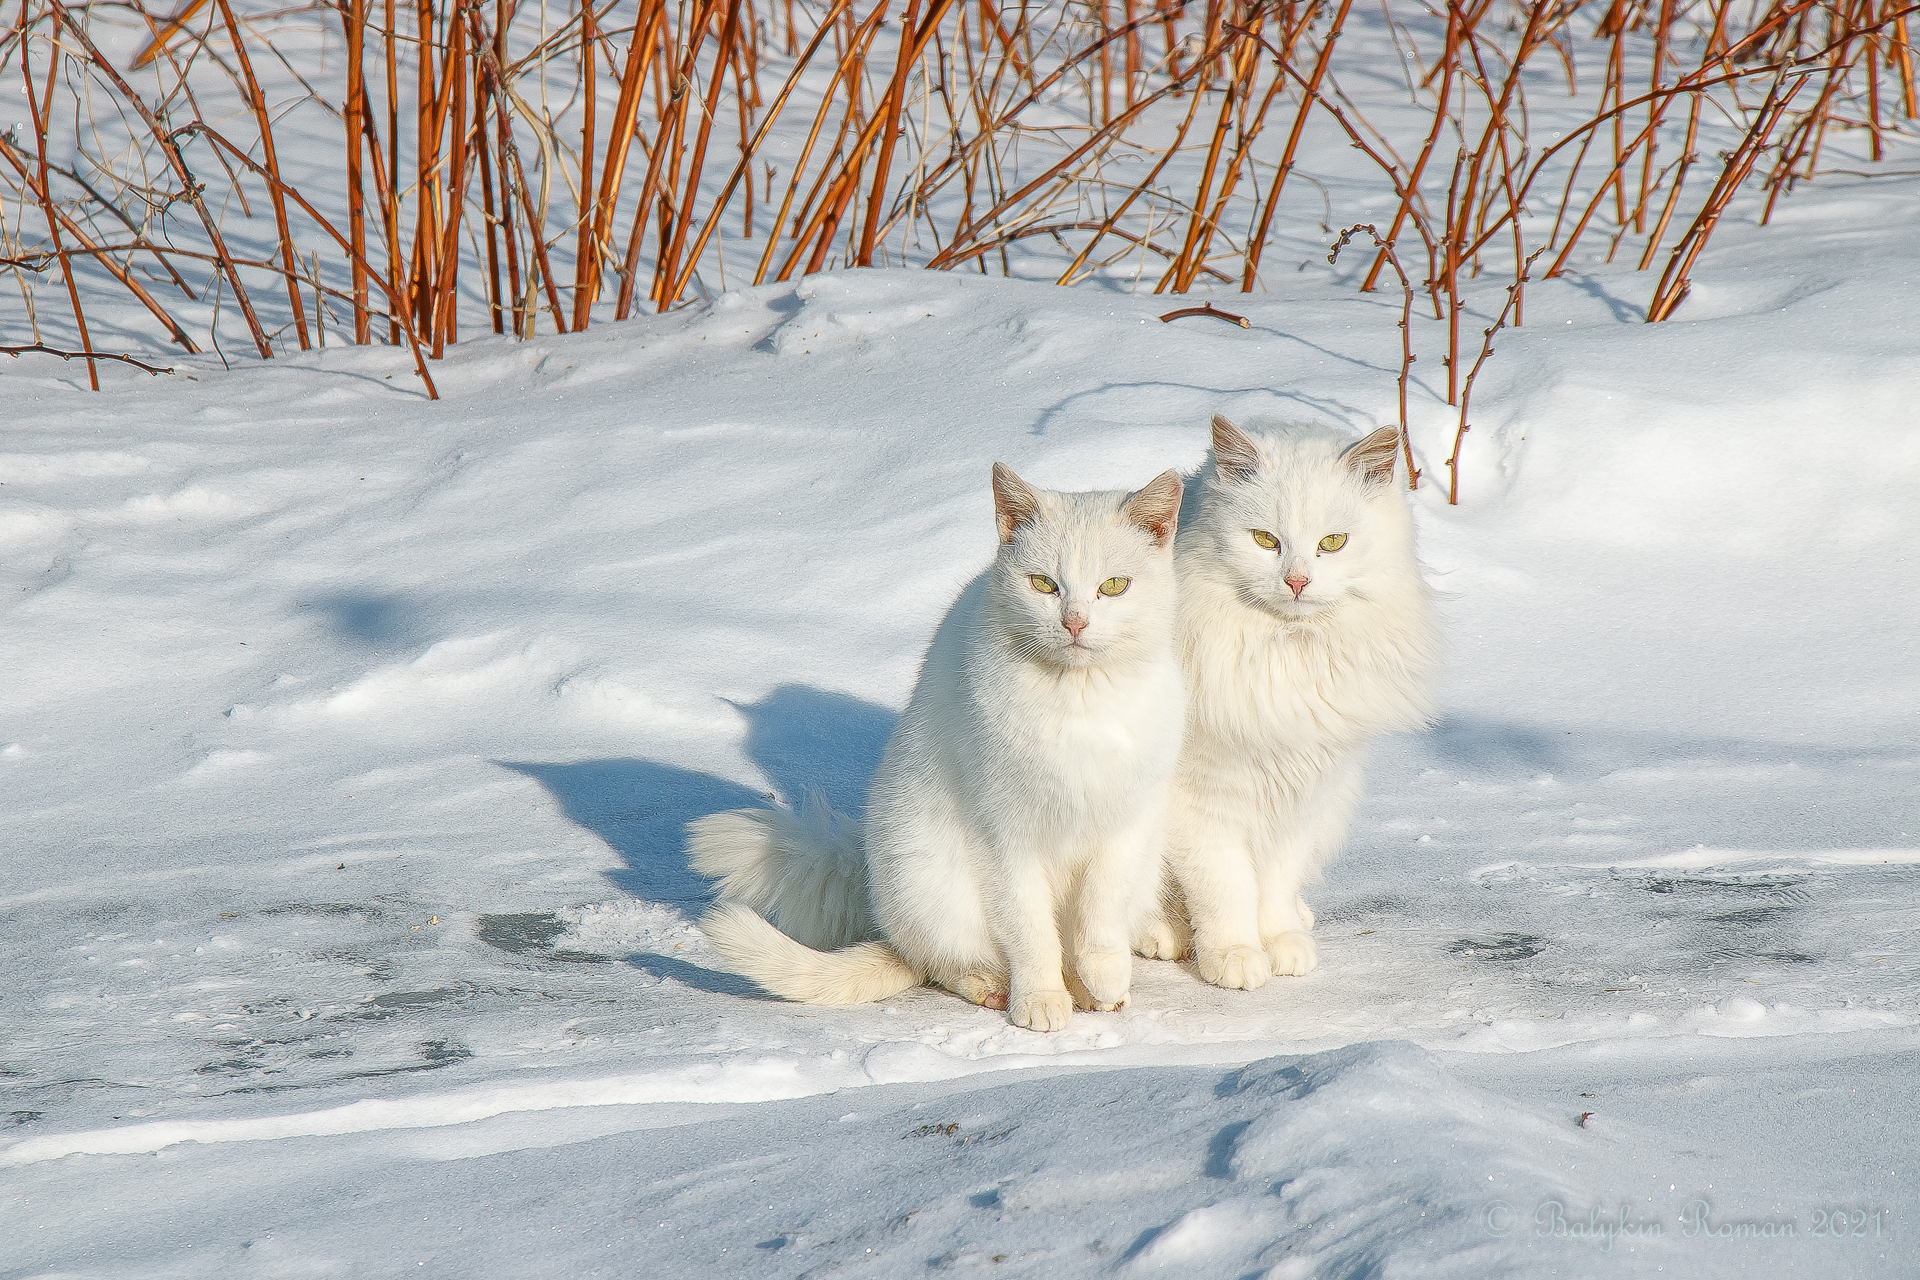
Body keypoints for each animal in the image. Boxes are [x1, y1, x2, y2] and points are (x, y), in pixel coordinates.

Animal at [691, 466, 1182, 1036]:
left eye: (1114, 586)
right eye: (1044, 584)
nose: (1075, 621)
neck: (1079, 701)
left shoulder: (1124, 823)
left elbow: (1100, 911)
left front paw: (1103, 975)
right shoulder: (1004, 835)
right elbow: (1030, 929)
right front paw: (1039, 998)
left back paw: (1094, 986)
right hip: (927, 877)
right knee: (941, 962)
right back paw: (997, 986)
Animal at [1136, 420, 1443, 990]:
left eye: (1332, 543)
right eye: (1265, 540)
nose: (1297, 581)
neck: (1287, 654)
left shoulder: (1302, 794)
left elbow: (1275, 883)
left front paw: (1282, 944)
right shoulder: (1203, 800)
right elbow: (1224, 887)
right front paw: (1234, 956)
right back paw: (1165, 935)